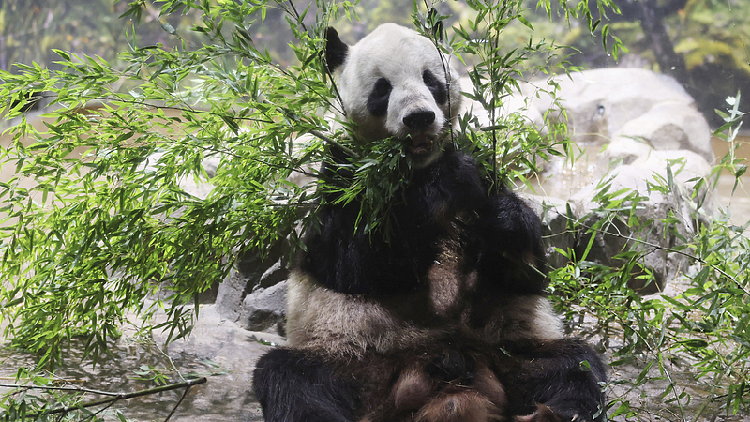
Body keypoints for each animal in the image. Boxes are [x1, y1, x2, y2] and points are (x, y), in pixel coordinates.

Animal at [251, 23, 604, 422]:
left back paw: (553, 412)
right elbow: (357, 263)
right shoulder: (341, 174)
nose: (419, 117)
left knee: (574, 367)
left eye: (431, 80)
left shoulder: (482, 165)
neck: (415, 167)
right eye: (382, 88)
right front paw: (447, 183)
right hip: (353, 358)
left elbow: (524, 273)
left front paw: (502, 220)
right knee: (293, 380)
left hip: (512, 351)